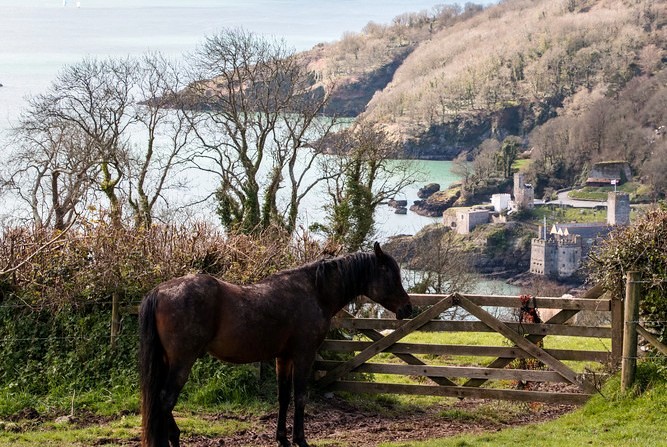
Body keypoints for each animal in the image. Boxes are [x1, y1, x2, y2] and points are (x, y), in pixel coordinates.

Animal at [140, 243, 412, 446]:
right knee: (165, 400)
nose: (408, 308)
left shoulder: (284, 357)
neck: (314, 292)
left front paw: (282, 438)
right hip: (182, 361)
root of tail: (160, 291)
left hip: (168, 361)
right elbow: (300, 396)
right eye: (389, 274)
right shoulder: (304, 355)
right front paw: (300, 440)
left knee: (161, 400)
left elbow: (283, 397)